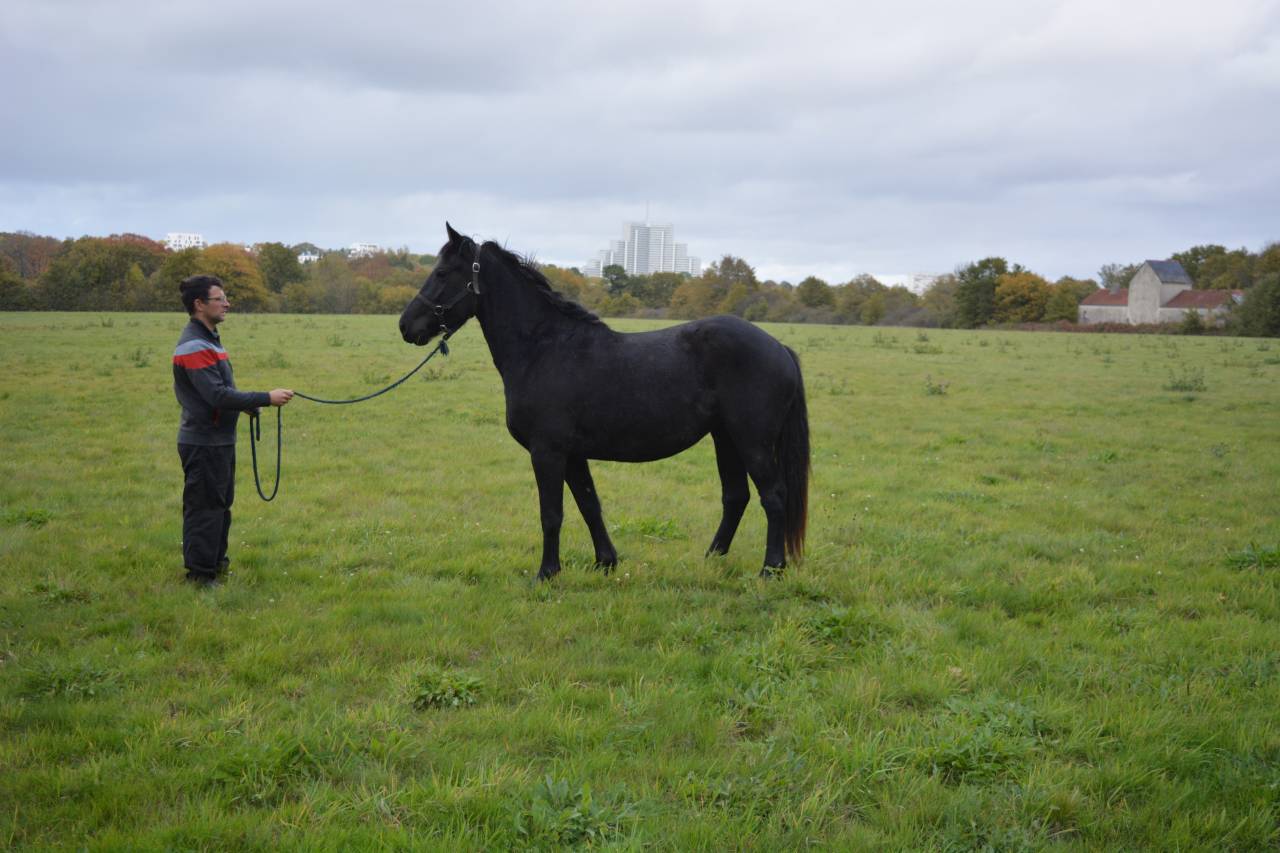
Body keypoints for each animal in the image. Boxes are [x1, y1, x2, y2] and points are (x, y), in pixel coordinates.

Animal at [399, 223, 810, 580]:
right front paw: (605, 562)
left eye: (442, 273)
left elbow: (552, 514)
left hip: (752, 442)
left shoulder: (547, 452)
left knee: (773, 497)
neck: (544, 348)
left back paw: (771, 569)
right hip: (725, 438)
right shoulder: (573, 454)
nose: (406, 325)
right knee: (735, 497)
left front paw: (547, 573)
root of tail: (780, 348)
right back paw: (711, 559)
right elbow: (588, 505)